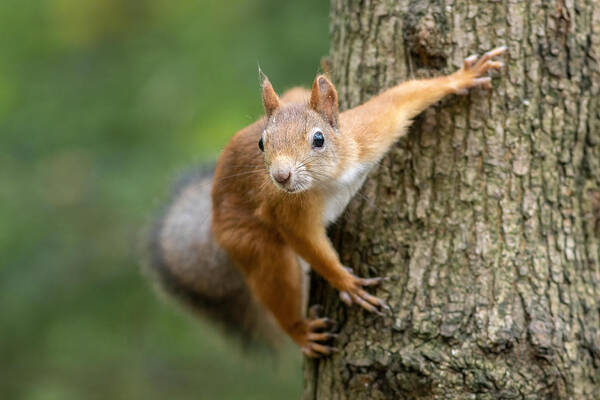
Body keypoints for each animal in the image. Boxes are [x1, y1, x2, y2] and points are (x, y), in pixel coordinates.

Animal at [149, 46, 506, 356]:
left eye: (319, 139)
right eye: (262, 143)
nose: (280, 177)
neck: (331, 179)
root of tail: (212, 218)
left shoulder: (368, 133)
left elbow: (400, 98)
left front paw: (463, 76)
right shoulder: (286, 208)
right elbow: (308, 244)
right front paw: (346, 282)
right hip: (249, 241)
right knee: (276, 278)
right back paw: (301, 331)